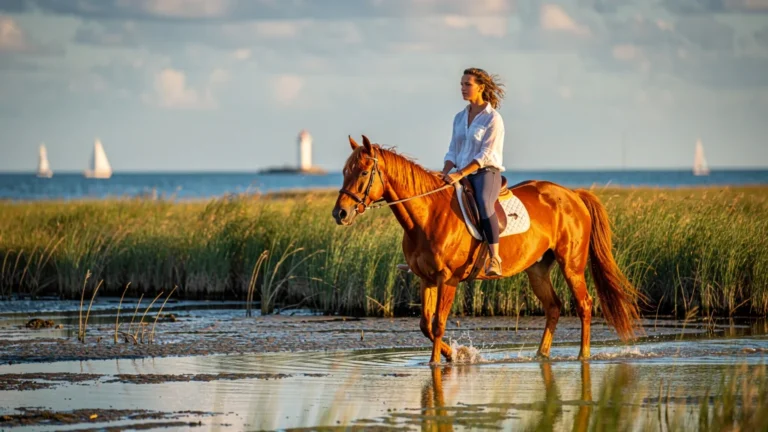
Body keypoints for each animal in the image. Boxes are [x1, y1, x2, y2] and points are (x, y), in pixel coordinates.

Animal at [332, 135, 641, 365]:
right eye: (345, 171)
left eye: (363, 172)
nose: (340, 213)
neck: (428, 215)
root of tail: (573, 195)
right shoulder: (426, 279)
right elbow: (425, 325)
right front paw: (456, 355)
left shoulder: (447, 280)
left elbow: (438, 324)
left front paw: (437, 362)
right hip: (537, 269)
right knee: (553, 307)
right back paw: (541, 355)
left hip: (571, 265)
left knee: (584, 304)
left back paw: (583, 355)